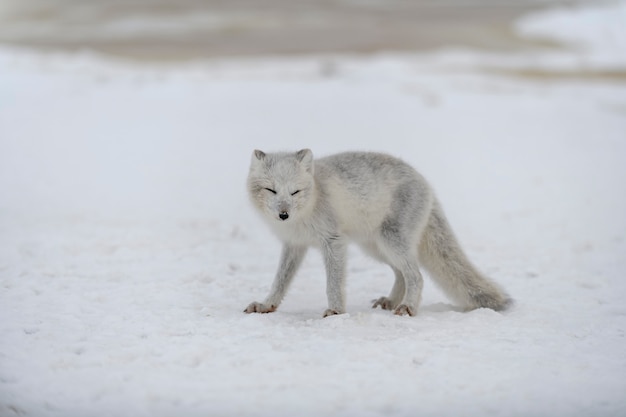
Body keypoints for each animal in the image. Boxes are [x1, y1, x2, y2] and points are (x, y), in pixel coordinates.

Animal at [243, 150, 508, 316]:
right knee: (401, 274)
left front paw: (336, 311)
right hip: (376, 248)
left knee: (416, 275)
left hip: (391, 241)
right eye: (271, 190)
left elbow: (333, 284)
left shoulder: (333, 241)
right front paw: (267, 305)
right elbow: (280, 282)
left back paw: (408, 307)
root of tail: (426, 184)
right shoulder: (294, 245)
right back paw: (391, 302)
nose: (283, 214)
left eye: (295, 191)